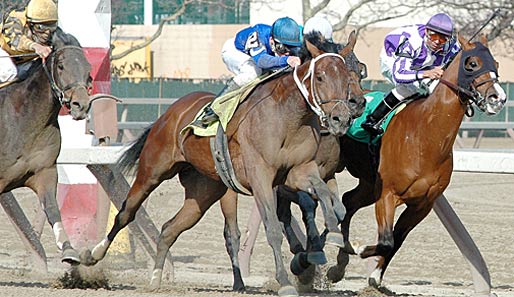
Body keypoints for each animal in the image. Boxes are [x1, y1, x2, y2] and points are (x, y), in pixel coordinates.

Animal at [0, 28, 95, 264]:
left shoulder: (44, 171)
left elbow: (52, 208)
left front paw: (69, 251)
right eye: (61, 65)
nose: (81, 105)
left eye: (88, 68)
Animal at [81, 40, 364, 296]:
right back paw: (91, 256)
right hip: (153, 171)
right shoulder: (262, 178)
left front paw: (332, 235)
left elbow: (325, 197)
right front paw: (285, 282)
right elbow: (273, 228)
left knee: (170, 228)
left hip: (204, 191)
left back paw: (156, 278)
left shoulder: (300, 172)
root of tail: (171, 112)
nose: (341, 117)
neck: (289, 117)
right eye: (320, 77)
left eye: (353, 75)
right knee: (126, 213)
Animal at [322, 33, 506, 286]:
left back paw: (339, 261)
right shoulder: (387, 195)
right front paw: (361, 249)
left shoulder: (422, 205)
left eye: (495, 64)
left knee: (348, 201)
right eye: (472, 64)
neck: (425, 137)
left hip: (369, 183)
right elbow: (386, 240)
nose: (498, 98)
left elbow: (395, 241)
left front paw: (374, 275)